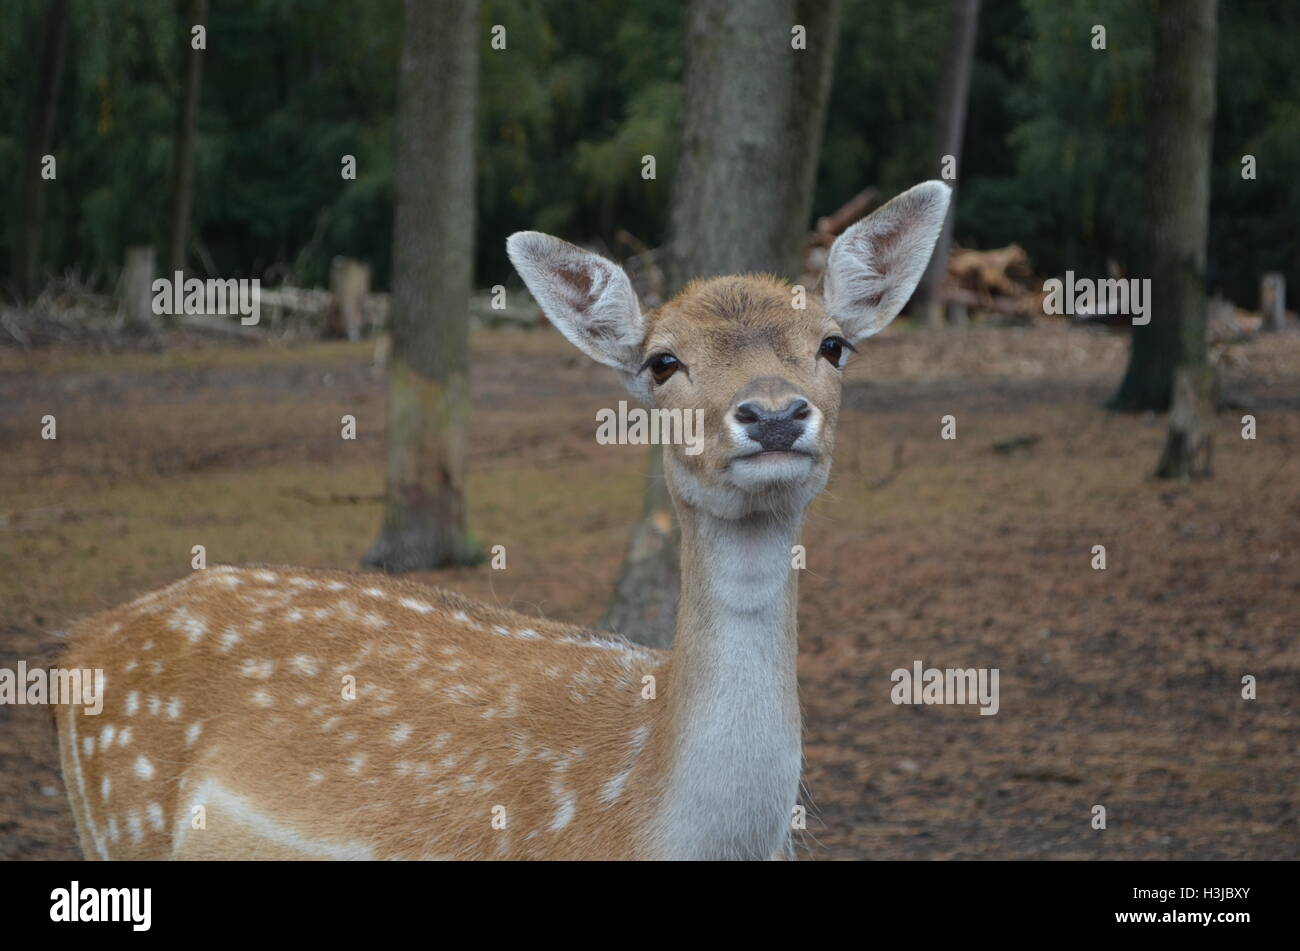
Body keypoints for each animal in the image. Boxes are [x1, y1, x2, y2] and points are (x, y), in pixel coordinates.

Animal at [55, 181, 950, 860]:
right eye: (662, 361)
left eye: (833, 344)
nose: (772, 413)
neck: (640, 824)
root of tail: (78, 644)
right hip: (118, 820)